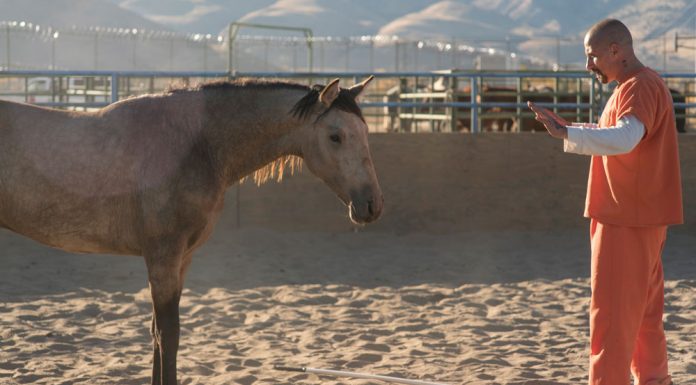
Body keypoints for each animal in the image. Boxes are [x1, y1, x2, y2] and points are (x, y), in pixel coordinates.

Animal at [0, 76, 380, 384]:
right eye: (335, 136)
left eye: (365, 134)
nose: (372, 205)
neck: (196, 144)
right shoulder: (163, 257)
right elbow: (169, 333)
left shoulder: (182, 259)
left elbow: (158, 331)